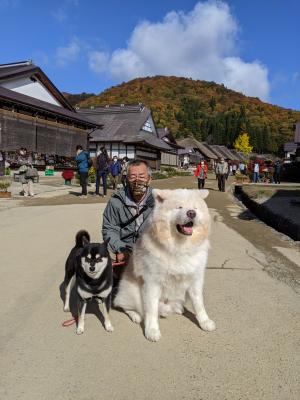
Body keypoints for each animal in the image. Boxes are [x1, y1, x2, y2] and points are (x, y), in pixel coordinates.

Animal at [113, 188, 216, 340]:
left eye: (195, 208)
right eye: (179, 207)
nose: (191, 213)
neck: (180, 247)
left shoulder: (195, 280)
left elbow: (199, 304)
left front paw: (205, 321)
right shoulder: (152, 282)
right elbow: (151, 310)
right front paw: (152, 331)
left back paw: (178, 309)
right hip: (131, 292)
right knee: (126, 306)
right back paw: (136, 316)